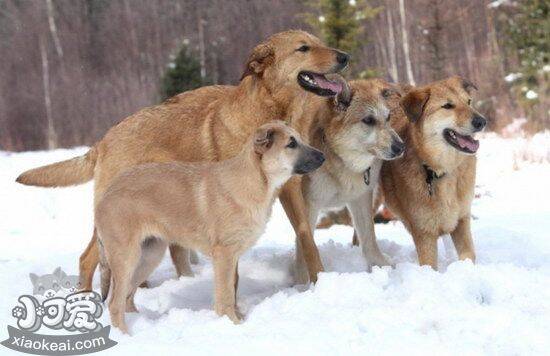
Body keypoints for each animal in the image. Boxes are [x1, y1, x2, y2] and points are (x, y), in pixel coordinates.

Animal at [19, 30, 352, 290]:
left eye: (318, 41)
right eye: (303, 48)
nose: (345, 56)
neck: (270, 111)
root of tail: (104, 140)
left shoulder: (291, 191)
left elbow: (306, 237)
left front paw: (319, 281)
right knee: (88, 259)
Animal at [96, 122, 326, 334]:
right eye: (291, 144)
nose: (323, 157)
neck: (256, 181)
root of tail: (107, 194)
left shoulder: (232, 256)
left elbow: (232, 288)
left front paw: (238, 319)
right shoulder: (224, 254)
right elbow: (225, 295)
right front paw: (232, 324)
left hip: (149, 255)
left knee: (127, 296)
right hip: (126, 257)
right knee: (115, 303)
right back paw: (125, 335)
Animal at [294, 78, 406, 284]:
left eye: (388, 118)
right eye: (368, 120)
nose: (401, 147)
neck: (342, 162)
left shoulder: (361, 198)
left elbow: (369, 238)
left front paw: (381, 265)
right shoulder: (308, 204)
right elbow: (306, 245)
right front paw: (304, 283)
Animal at [382, 76, 490, 268]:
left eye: (469, 102)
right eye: (447, 106)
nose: (482, 122)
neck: (442, 171)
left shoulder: (461, 221)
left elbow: (468, 256)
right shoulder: (424, 233)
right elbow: (429, 266)